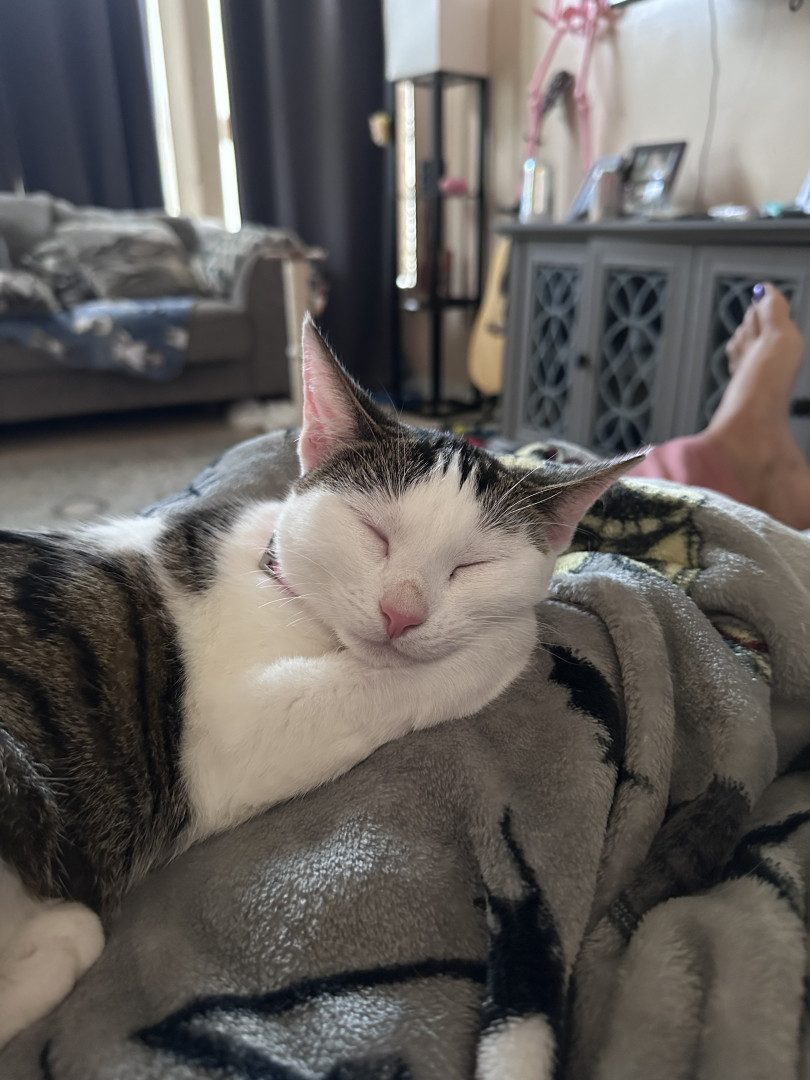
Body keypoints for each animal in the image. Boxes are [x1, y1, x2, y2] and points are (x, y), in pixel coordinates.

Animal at [0, 314, 642, 1048]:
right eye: (372, 533)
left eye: (471, 566)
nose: (401, 612)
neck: (283, 587)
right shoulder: (225, 736)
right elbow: (402, 679)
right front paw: (509, 637)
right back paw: (62, 937)